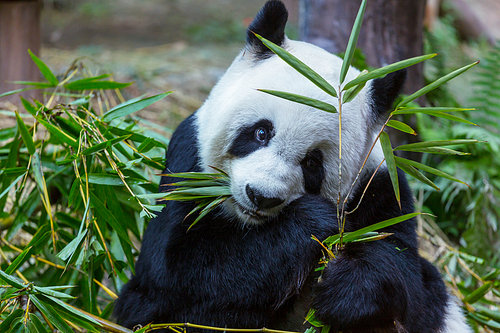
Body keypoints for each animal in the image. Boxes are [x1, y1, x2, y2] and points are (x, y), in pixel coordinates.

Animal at [114, 1, 472, 330]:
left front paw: (346, 288)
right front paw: (312, 222)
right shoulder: (187, 163)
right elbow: (178, 269)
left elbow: (403, 274)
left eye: (312, 162)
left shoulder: (380, 186)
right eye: (261, 132)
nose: (261, 196)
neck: (253, 227)